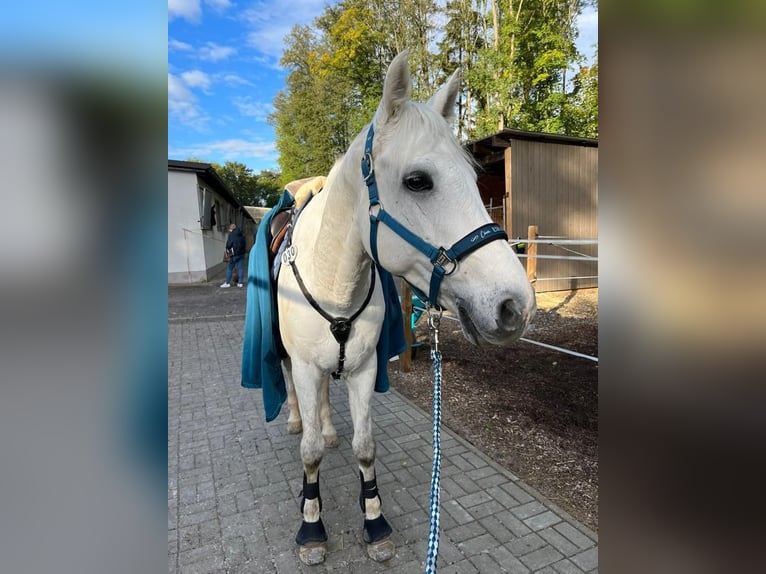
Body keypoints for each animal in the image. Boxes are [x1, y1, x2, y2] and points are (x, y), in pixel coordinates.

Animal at [278, 50, 540, 568]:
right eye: (418, 181)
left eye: (475, 179)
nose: (514, 306)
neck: (333, 279)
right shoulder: (304, 366)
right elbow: (309, 452)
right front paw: (311, 526)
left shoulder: (362, 369)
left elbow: (365, 446)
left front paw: (374, 521)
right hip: (290, 361)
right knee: (296, 397)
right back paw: (299, 419)